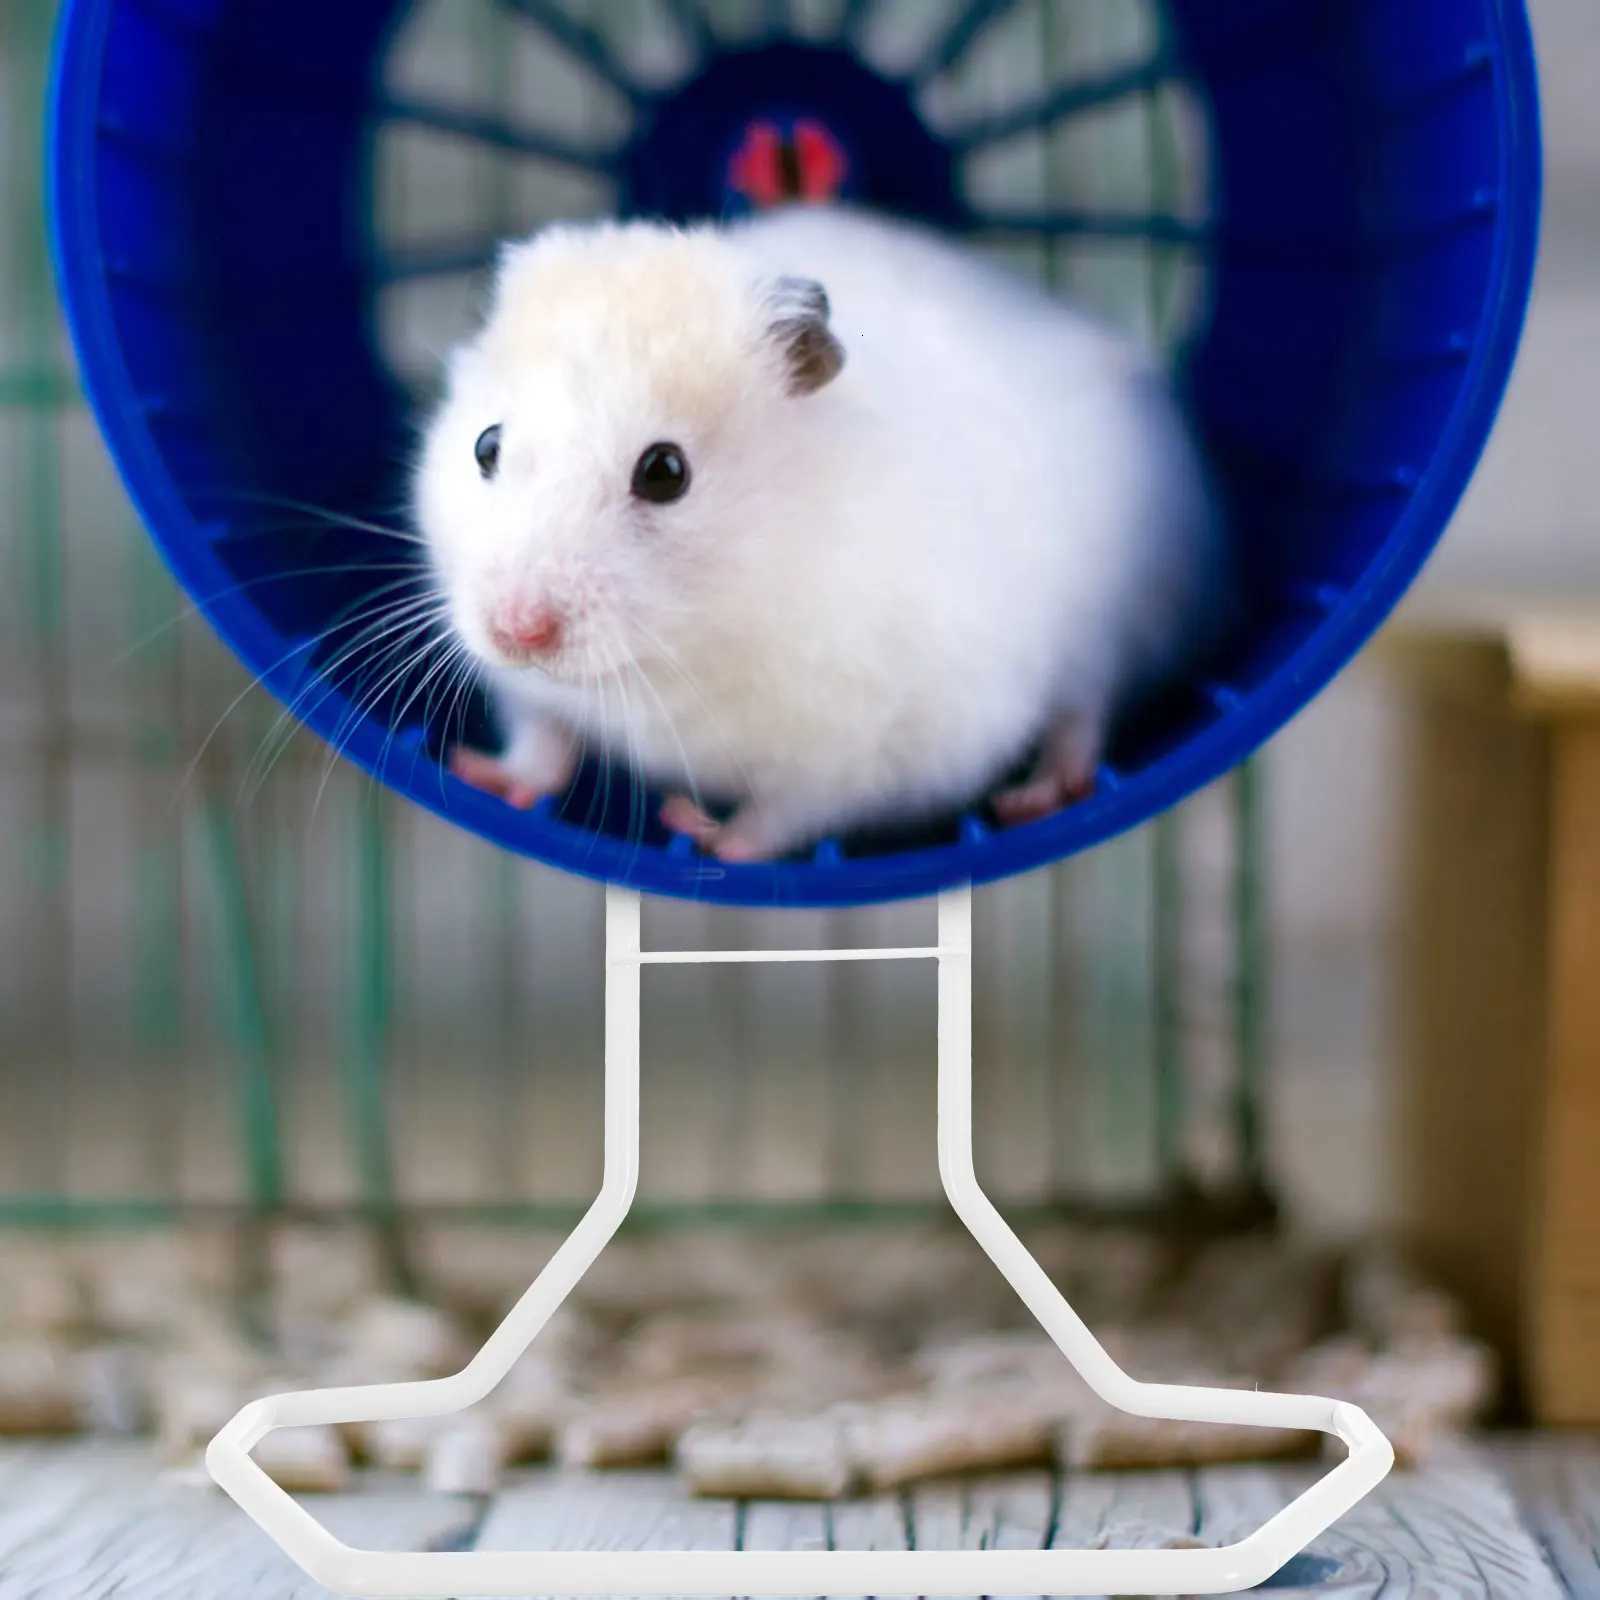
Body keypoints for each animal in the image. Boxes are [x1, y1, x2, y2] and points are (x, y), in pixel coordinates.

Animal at [417, 206, 1224, 862]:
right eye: (486, 446)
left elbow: (785, 812)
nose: (517, 632)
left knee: (1084, 713)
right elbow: (542, 741)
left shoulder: (876, 745)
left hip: (1125, 613)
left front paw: (698, 831)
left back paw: (1036, 797)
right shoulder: (532, 694)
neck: (676, 651)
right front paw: (478, 774)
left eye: (666, 472)